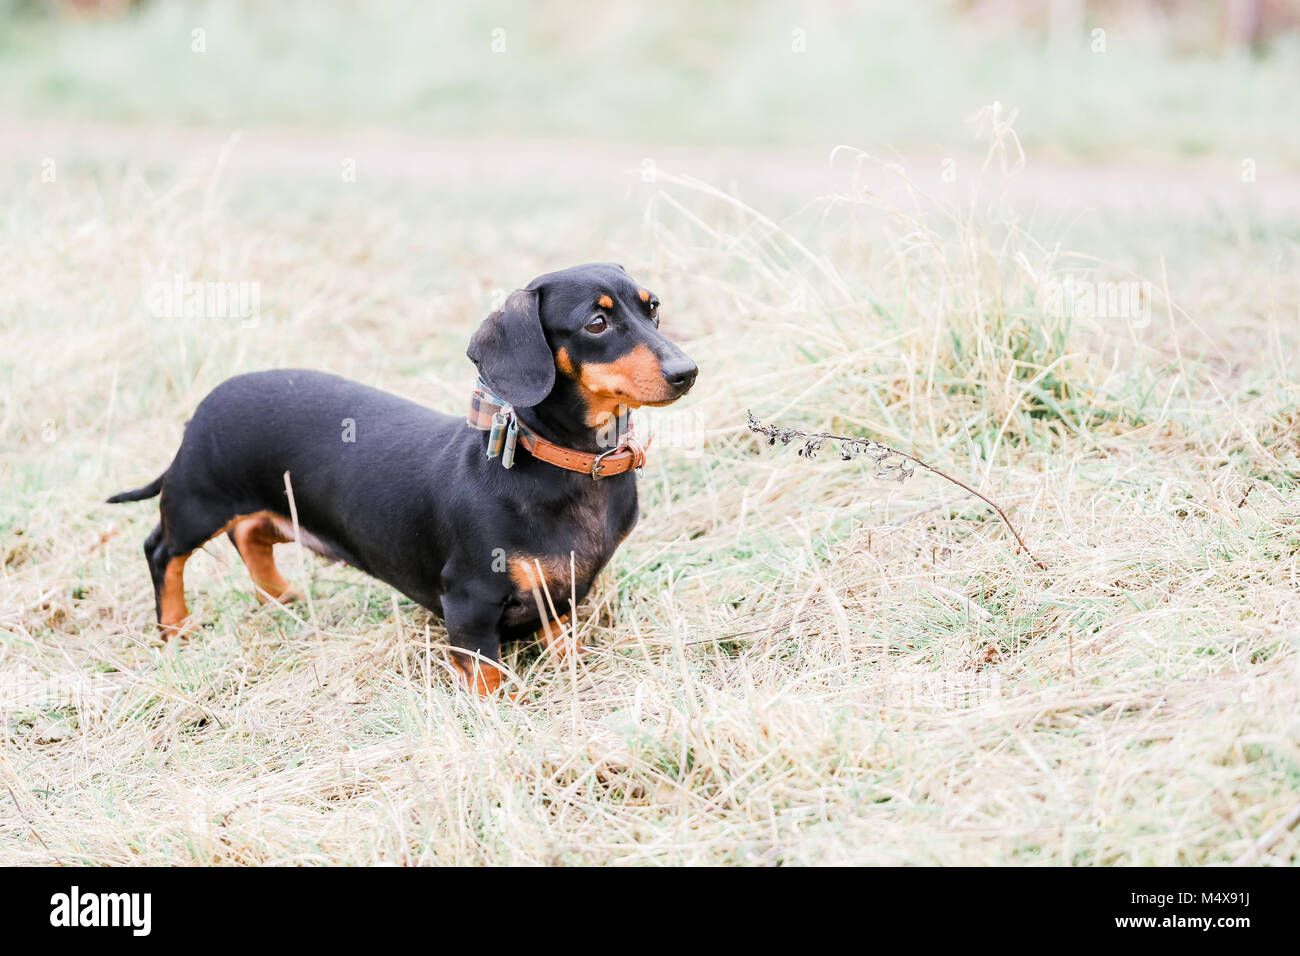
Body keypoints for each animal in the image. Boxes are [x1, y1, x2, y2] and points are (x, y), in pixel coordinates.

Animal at [106, 261, 696, 697]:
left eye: (652, 308)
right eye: (596, 324)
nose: (687, 372)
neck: (565, 465)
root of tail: (205, 404)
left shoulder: (565, 592)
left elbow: (564, 639)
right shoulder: (470, 600)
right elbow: (486, 674)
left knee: (250, 534)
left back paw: (280, 596)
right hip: (198, 502)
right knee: (162, 550)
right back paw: (176, 626)